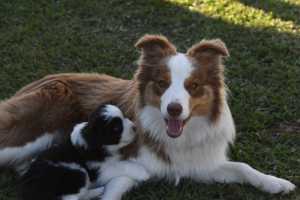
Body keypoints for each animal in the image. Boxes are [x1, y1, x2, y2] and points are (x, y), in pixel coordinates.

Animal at [19, 104, 149, 200]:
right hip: (78, 173)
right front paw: (143, 172)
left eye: (124, 116)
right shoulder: (98, 170)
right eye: (117, 128)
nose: (135, 127)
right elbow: (122, 165)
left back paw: (100, 190)